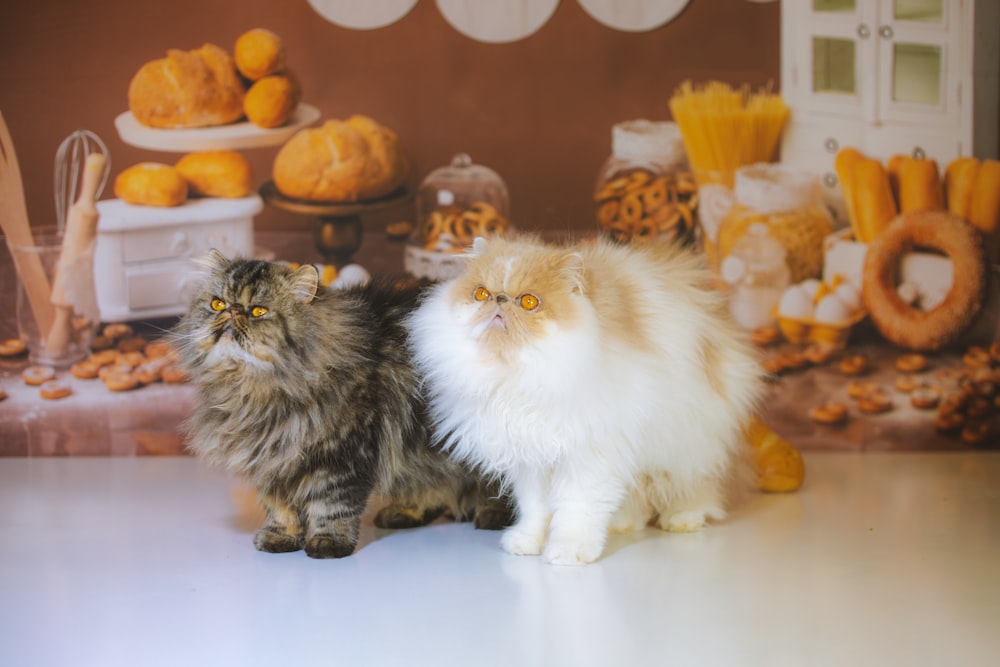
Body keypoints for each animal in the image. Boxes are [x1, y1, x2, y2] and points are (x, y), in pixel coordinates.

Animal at [173, 250, 512, 560]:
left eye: (258, 311)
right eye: (217, 303)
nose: (232, 312)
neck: (256, 388)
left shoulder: (343, 456)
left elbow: (333, 506)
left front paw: (328, 543)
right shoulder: (273, 458)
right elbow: (280, 508)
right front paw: (281, 538)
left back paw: (493, 514)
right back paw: (404, 512)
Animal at [406, 235, 764, 564]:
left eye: (529, 302)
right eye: (480, 293)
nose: (500, 299)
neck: (520, 378)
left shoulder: (590, 456)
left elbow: (577, 510)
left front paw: (568, 551)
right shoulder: (532, 459)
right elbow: (535, 509)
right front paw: (527, 542)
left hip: (689, 443)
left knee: (695, 485)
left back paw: (683, 519)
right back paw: (622, 524)